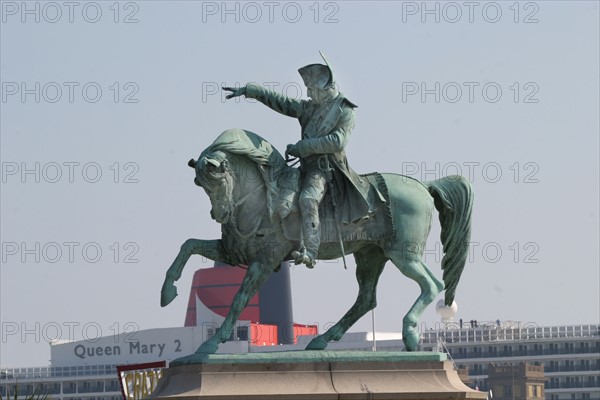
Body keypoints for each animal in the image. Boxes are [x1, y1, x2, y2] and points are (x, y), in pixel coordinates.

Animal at [161, 127, 474, 354]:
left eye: (217, 177)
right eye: (200, 184)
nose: (220, 214)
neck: (262, 196)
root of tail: (424, 185)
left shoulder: (266, 259)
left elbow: (239, 297)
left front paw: (212, 343)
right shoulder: (232, 252)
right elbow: (187, 246)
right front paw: (167, 291)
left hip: (403, 254)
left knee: (432, 285)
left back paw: (408, 332)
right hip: (370, 255)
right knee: (366, 299)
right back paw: (323, 339)